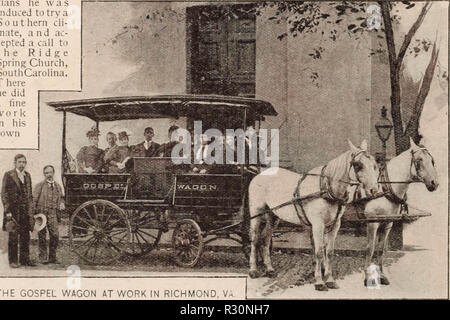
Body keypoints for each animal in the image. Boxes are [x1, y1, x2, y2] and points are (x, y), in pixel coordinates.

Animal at [248, 139, 378, 290]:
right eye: (358, 165)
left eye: (374, 164)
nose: (374, 190)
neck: (327, 189)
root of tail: (261, 173)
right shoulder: (318, 225)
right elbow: (319, 251)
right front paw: (319, 281)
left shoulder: (335, 225)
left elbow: (329, 252)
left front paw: (330, 279)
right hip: (256, 212)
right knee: (255, 239)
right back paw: (253, 270)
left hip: (273, 216)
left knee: (266, 238)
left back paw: (269, 269)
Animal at [362, 138, 440, 284]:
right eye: (419, 160)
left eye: (432, 160)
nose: (434, 183)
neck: (383, 188)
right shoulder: (372, 222)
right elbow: (370, 248)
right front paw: (367, 277)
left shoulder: (387, 223)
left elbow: (382, 249)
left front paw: (382, 276)